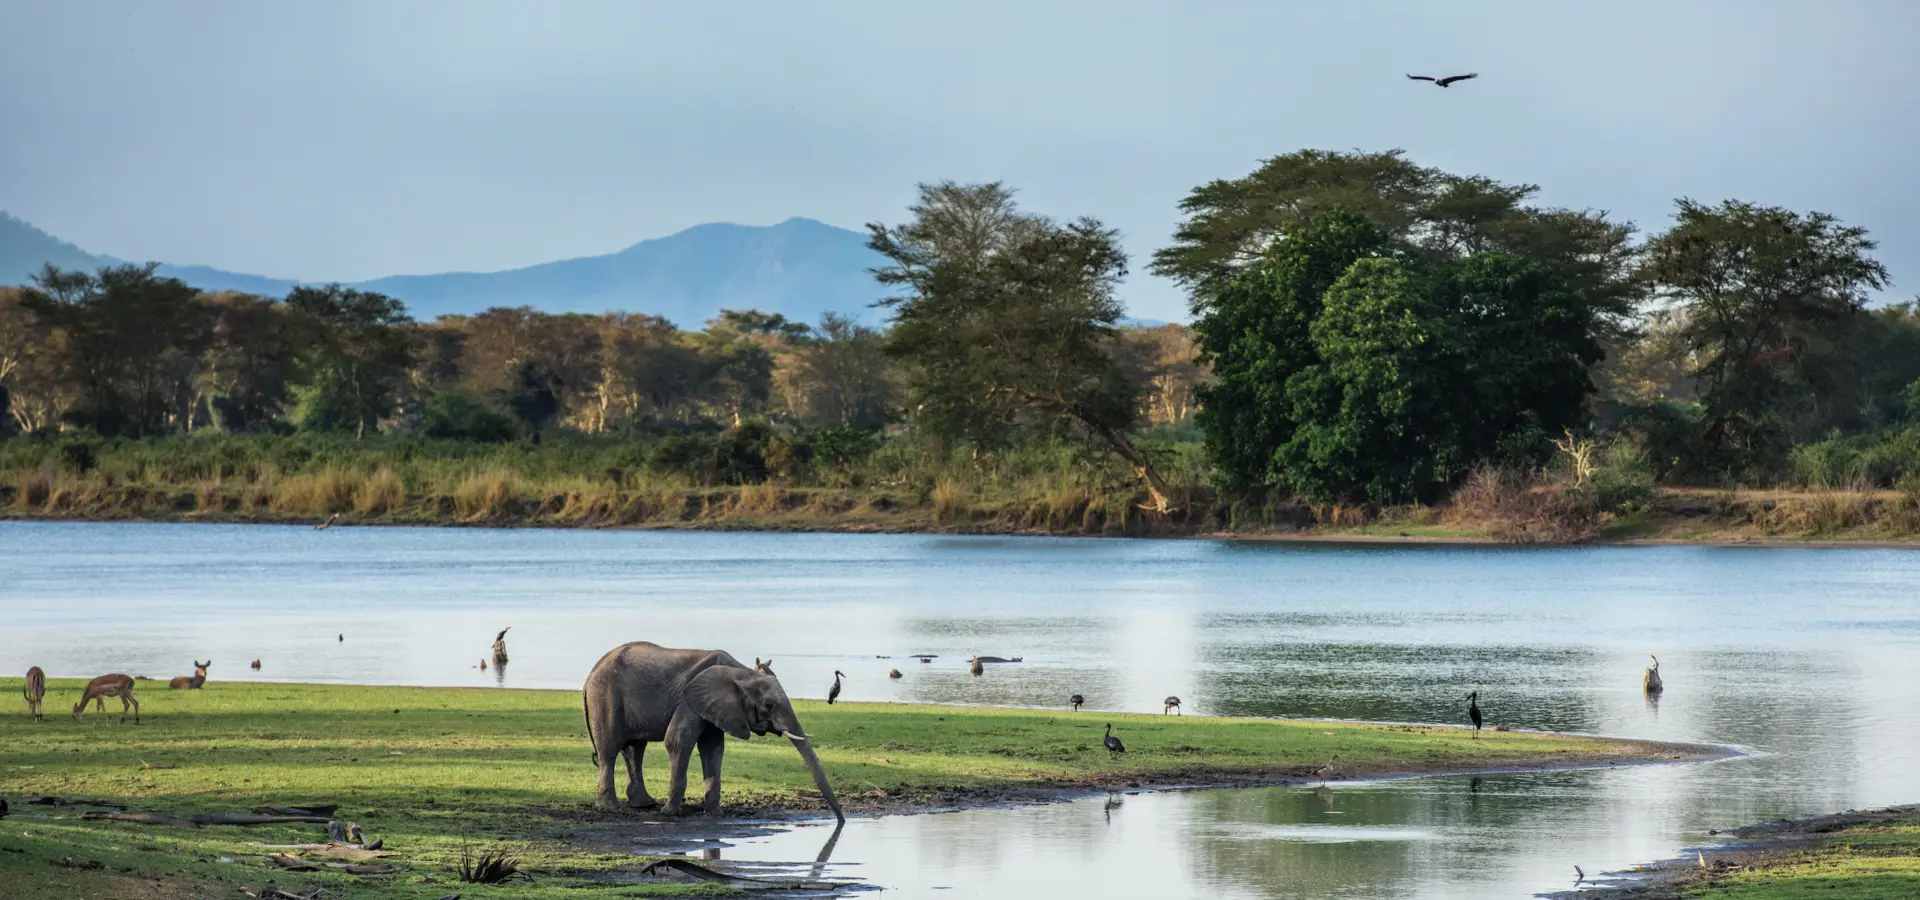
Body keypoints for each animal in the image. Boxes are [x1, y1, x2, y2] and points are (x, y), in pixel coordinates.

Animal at [582, 641, 844, 821]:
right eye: (769, 705)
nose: (840, 821)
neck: (741, 672)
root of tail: (591, 673)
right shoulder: (689, 699)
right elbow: (677, 740)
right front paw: (669, 813)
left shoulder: (717, 706)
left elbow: (713, 748)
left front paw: (715, 813)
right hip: (605, 696)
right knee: (609, 749)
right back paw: (609, 807)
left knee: (634, 750)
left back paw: (643, 805)